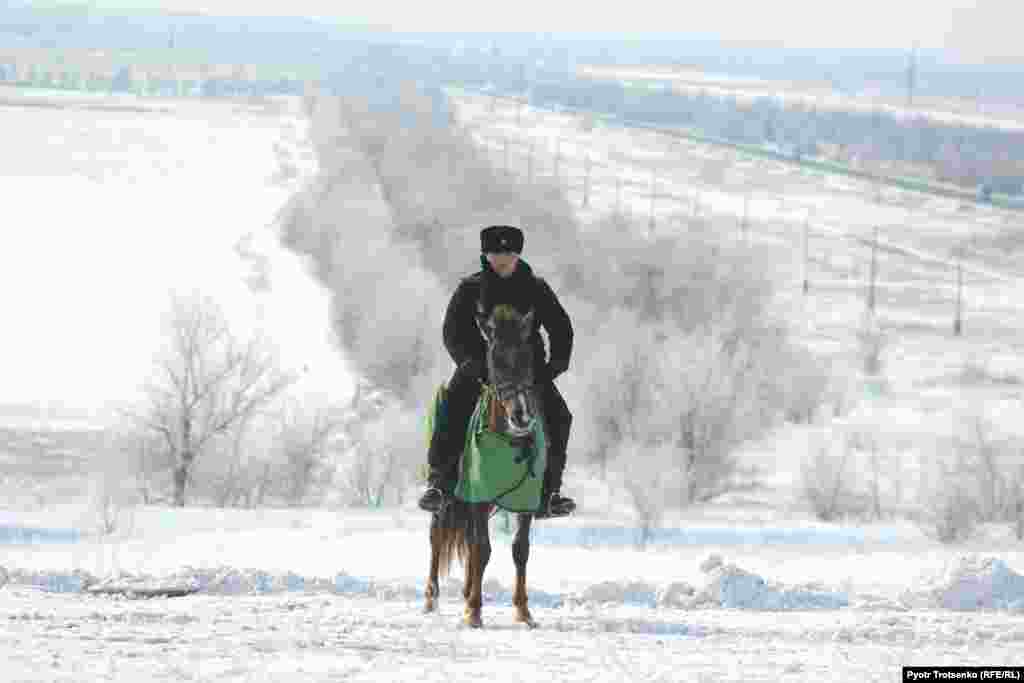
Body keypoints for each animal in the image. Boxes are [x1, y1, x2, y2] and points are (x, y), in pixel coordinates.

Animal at [423, 305, 544, 630]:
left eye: (528, 355)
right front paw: (474, 611)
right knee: (437, 536)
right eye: (495, 359)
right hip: (446, 499)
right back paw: (431, 598)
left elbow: (519, 550)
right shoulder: (478, 496)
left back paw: (466, 590)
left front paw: (523, 611)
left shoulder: (524, 503)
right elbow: (483, 549)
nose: (521, 416)